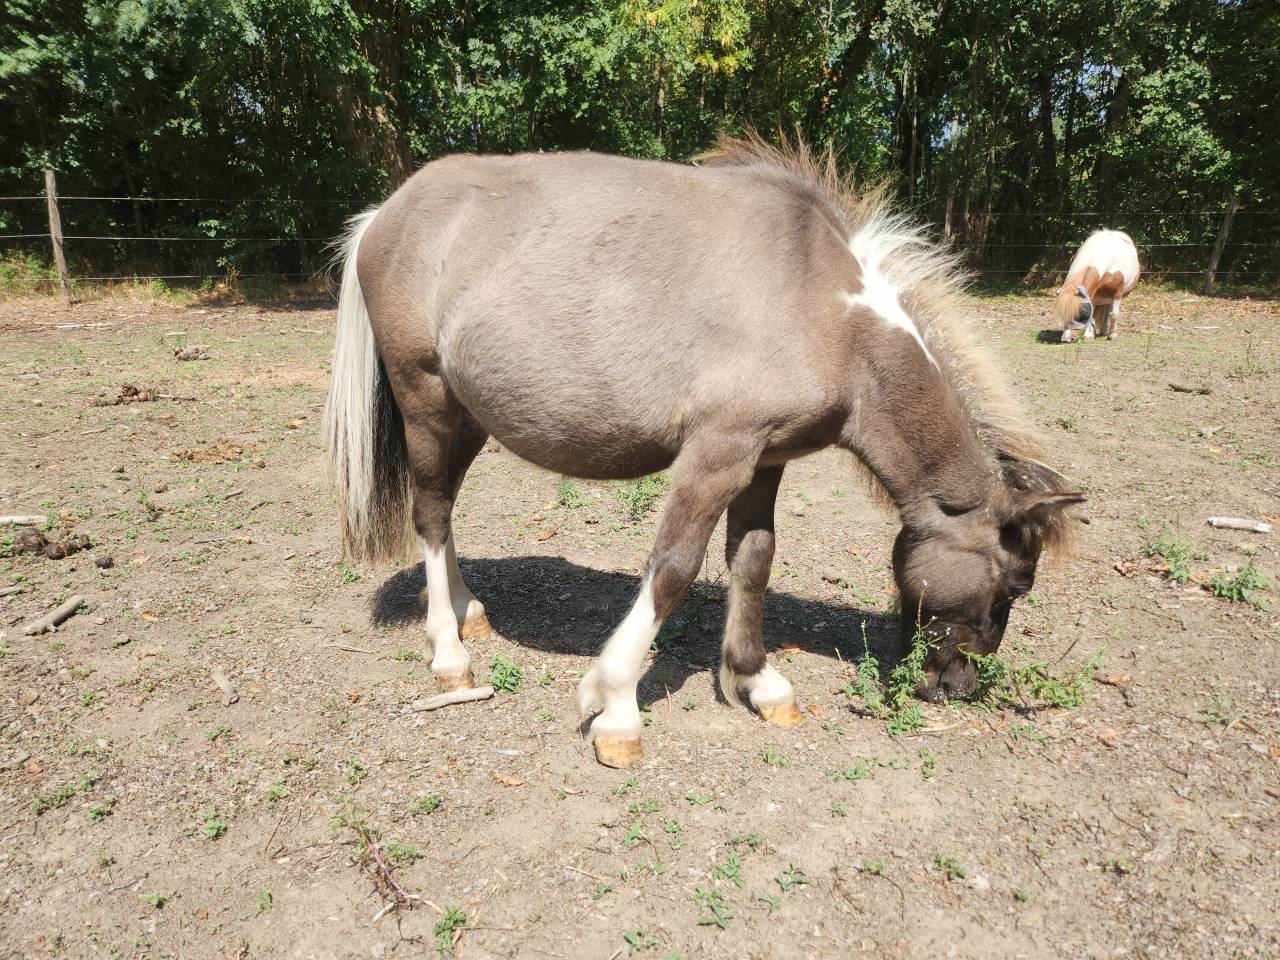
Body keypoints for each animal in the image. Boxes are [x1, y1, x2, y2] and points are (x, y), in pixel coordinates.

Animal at [323, 137, 1085, 768]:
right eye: (1016, 585)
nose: (956, 685)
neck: (827, 313)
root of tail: (385, 213)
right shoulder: (717, 454)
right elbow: (673, 568)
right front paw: (616, 706)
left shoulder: (766, 459)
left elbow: (753, 558)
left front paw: (757, 680)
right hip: (424, 399)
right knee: (428, 513)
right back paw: (449, 653)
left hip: (467, 416)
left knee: (445, 509)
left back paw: (466, 611)